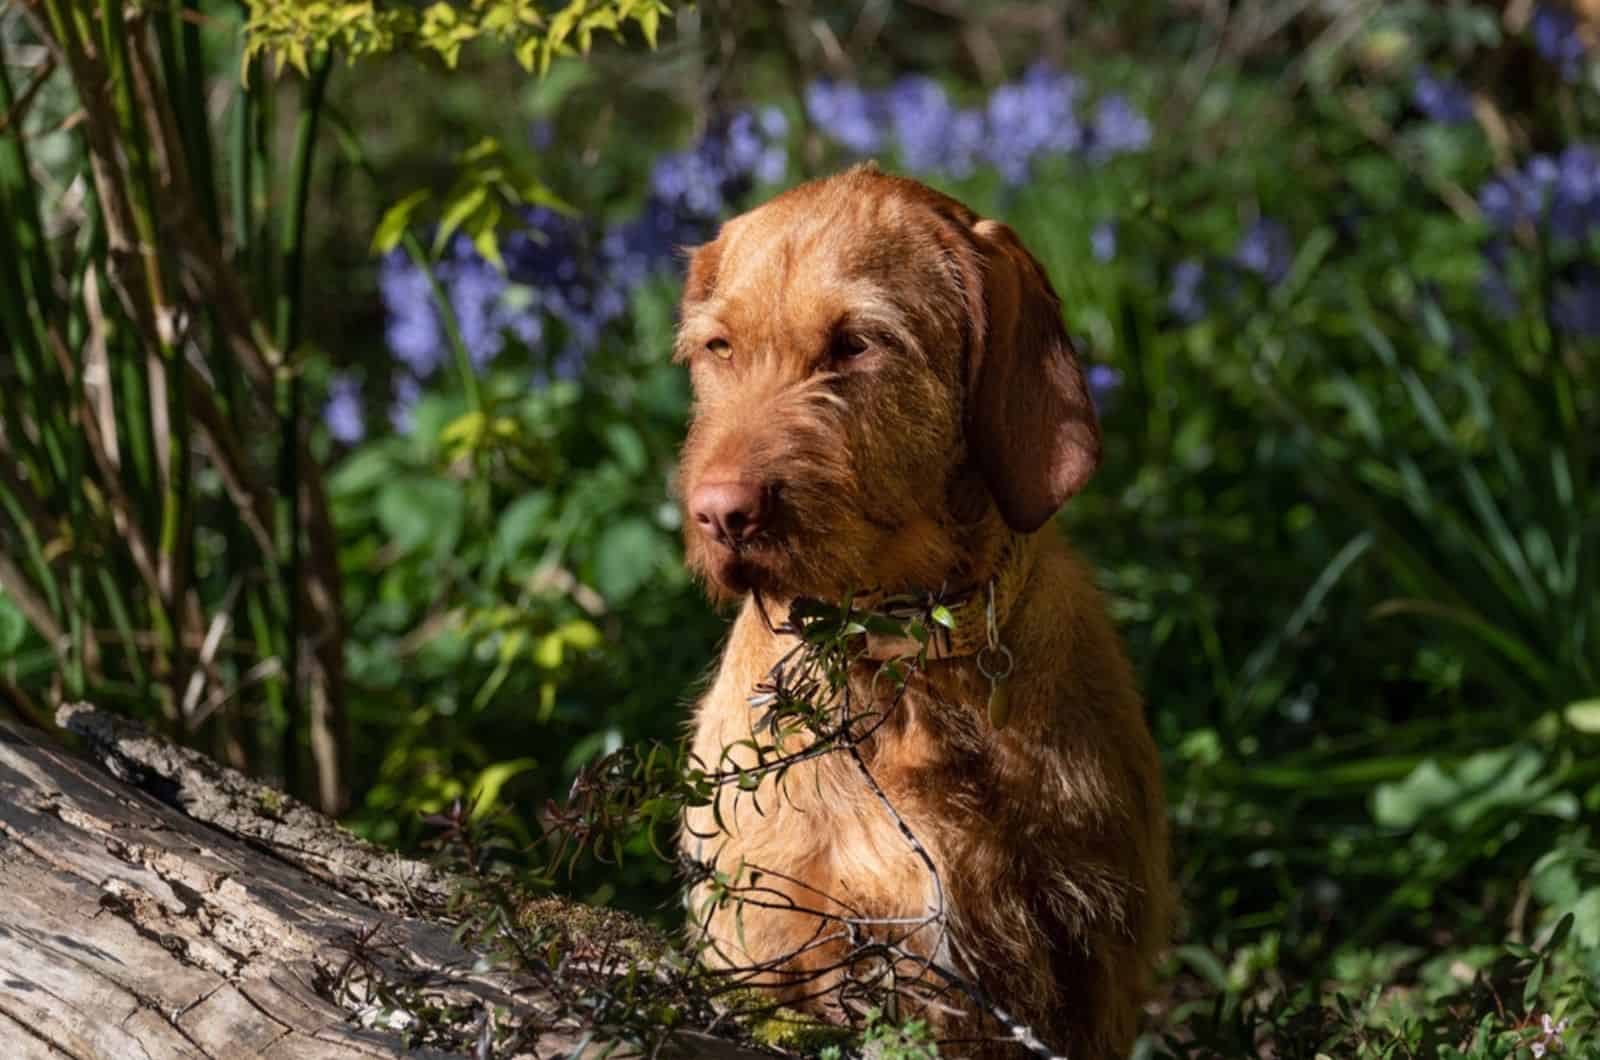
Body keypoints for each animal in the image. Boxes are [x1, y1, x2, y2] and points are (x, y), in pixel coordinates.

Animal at [668, 161, 1171, 1056]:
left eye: (856, 343)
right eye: (718, 347)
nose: (721, 514)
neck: (905, 665)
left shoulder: (1092, 956)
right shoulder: (781, 946)